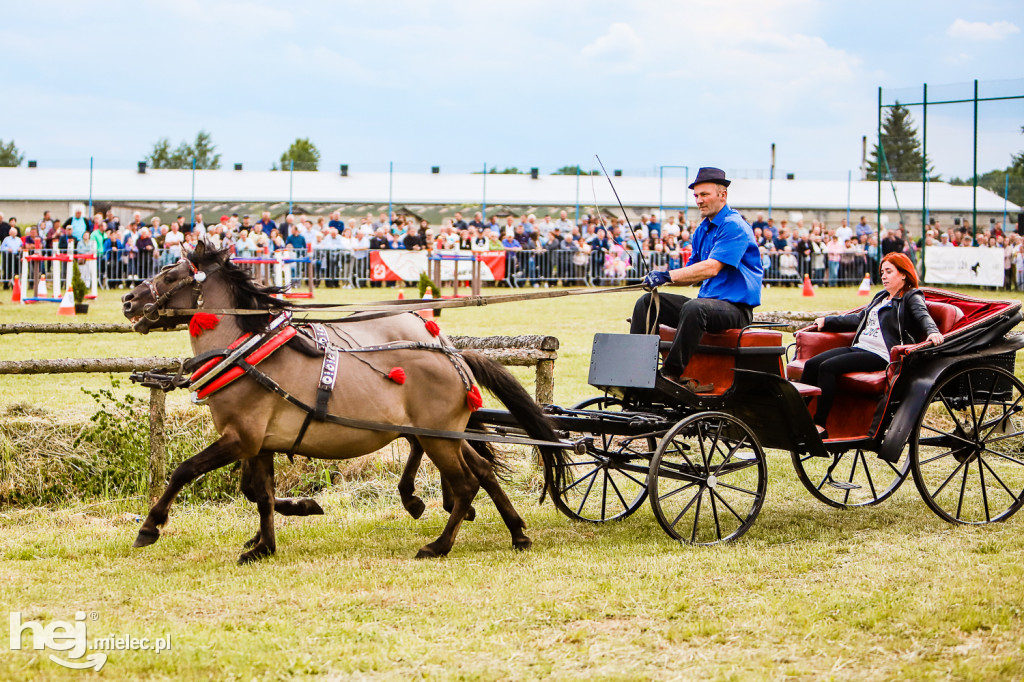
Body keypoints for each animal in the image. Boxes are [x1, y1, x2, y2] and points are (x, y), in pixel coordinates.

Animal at [124, 241, 569, 561]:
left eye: (169, 273)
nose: (129, 300)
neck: (247, 354)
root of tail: (454, 355)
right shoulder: (258, 443)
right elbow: (260, 493)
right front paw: (268, 540)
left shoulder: (240, 439)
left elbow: (185, 471)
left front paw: (150, 526)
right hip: (444, 437)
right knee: (481, 472)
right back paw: (516, 531)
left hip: (438, 438)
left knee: (466, 484)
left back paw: (438, 544)